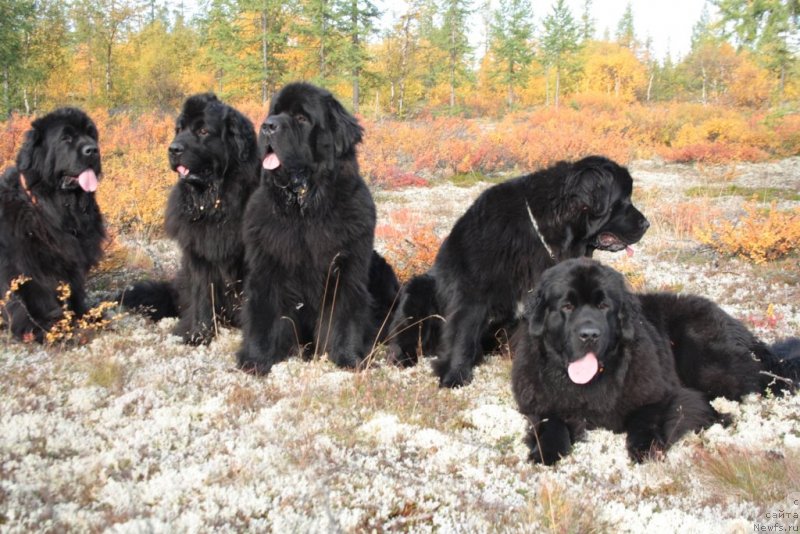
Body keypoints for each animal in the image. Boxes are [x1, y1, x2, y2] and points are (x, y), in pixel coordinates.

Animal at [0, 109, 104, 344]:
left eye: (91, 134)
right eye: (66, 138)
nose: (92, 150)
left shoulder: (71, 260)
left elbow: (75, 290)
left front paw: (87, 316)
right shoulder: (29, 266)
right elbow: (37, 298)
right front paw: (50, 328)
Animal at [119, 94, 260, 346]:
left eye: (203, 131)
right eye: (179, 129)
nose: (173, 149)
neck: (216, 202)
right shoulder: (199, 254)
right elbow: (203, 295)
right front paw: (198, 333)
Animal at [238, 84, 400, 376]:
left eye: (302, 118)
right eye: (274, 112)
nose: (267, 126)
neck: (304, 207)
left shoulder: (346, 267)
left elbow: (345, 314)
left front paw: (347, 358)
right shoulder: (266, 264)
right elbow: (262, 314)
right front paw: (256, 359)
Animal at [390, 156, 652, 390]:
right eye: (623, 200)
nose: (646, 224)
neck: (543, 233)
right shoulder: (472, 292)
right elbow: (462, 334)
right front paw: (455, 377)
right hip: (419, 289)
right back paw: (402, 357)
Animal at [512, 260, 800, 464]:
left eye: (604, 305)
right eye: (567, 306)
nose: (590, 334)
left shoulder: (659, 392)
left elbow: (647, 416)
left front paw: (644, 448)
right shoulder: (537, 399)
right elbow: (550, 421)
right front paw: (547, 451)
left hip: (705, 358)